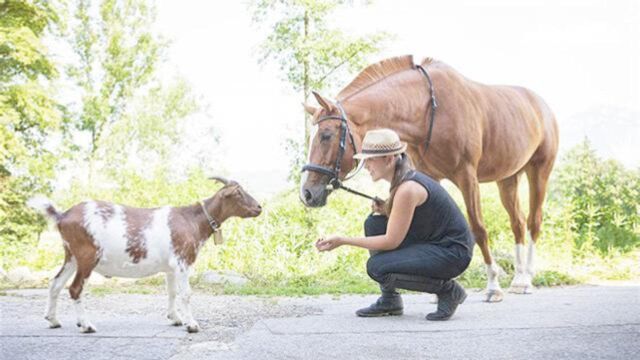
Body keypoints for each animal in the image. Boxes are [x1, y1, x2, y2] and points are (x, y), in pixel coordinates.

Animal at [26, 176, 262, 334]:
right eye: (238, 193)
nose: (259, 207)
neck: (192, 220)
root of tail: (62, 215)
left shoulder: (171, 267)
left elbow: (172, 292)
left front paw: (175, 318)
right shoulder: (183, 261)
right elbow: (186, 293)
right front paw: (192, 325)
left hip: (71, 256)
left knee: (55, 283)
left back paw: (53, 320)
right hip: (87, 256)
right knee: (75, 289)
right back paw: (86, 325)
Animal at [298, 54, 556, 300]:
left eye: (326, 135)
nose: (307, 193)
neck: (430, 109)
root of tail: (541, 105)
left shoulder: (467, 176)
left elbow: (479, 229)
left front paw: (492, 286)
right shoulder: (430, 174)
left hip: (539, 170)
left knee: (533, 222)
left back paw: (526, 280)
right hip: (508, 178)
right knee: (518, 223)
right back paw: (518, 279)